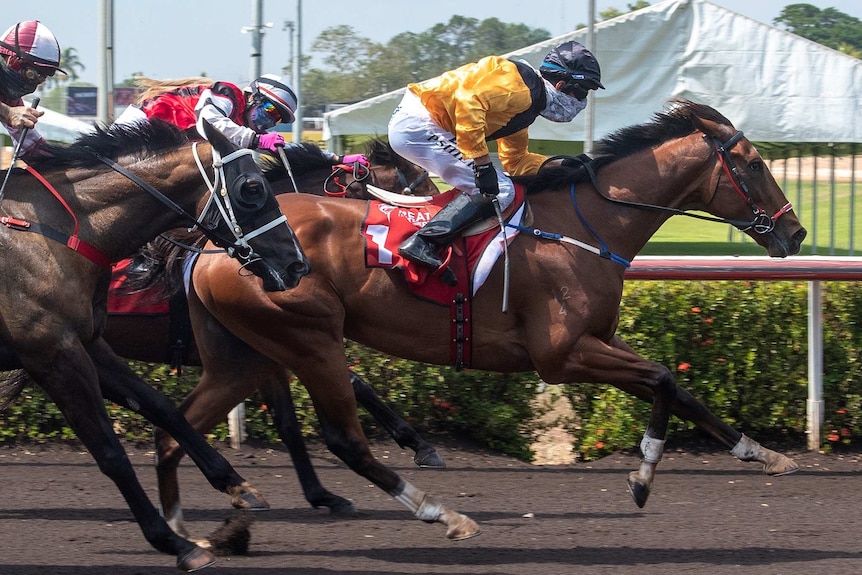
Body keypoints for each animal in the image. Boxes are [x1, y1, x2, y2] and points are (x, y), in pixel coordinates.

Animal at [0, 120, 308, 572]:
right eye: (253, 188)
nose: (297, 263)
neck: (59, 233)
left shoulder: (87, 343)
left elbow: (162, 408)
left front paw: (238, 487)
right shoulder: (52, 354)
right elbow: (110, 452)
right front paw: (176, 543)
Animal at [150, 102, 808, 540]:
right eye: (753, 164)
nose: (796, 233)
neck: (586, 226)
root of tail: (213, 242)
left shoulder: (598, 339)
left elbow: (678, 387)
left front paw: (761, 453)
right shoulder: (562, 355)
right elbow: (666, 379)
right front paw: (643, 476)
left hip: (244, 354)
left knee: (173, 431)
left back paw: (182, 526)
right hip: (309, 337)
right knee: (342, 438)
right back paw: (440, 511)